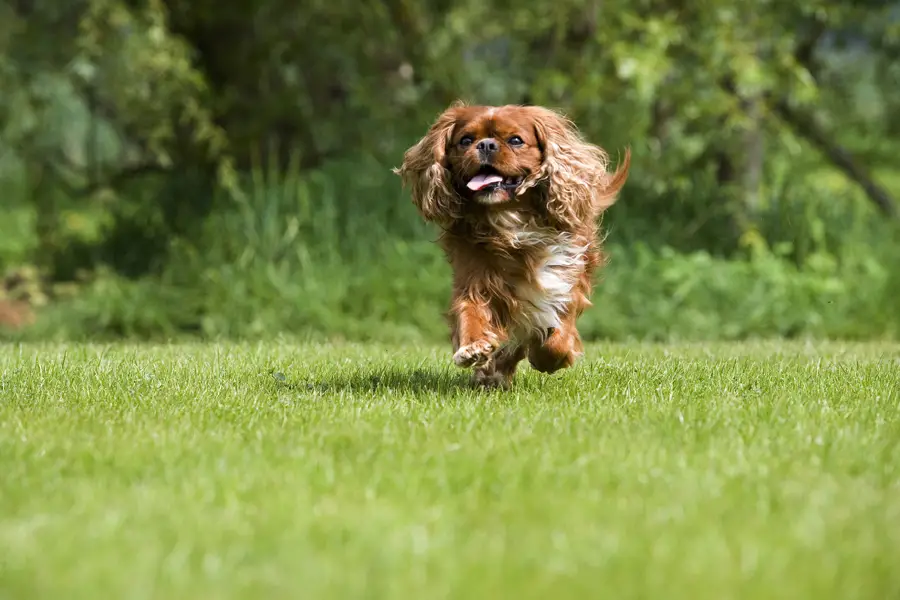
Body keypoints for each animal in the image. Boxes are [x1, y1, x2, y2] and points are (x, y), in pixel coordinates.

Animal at [398, 102, 628, 390]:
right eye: (465, 140)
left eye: (516, 140)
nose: (486, 144)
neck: (510, 221)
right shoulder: (474, 282)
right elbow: (470, 314)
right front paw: (474, 348)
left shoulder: (564, 283)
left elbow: (557, 335)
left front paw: (547, 356)